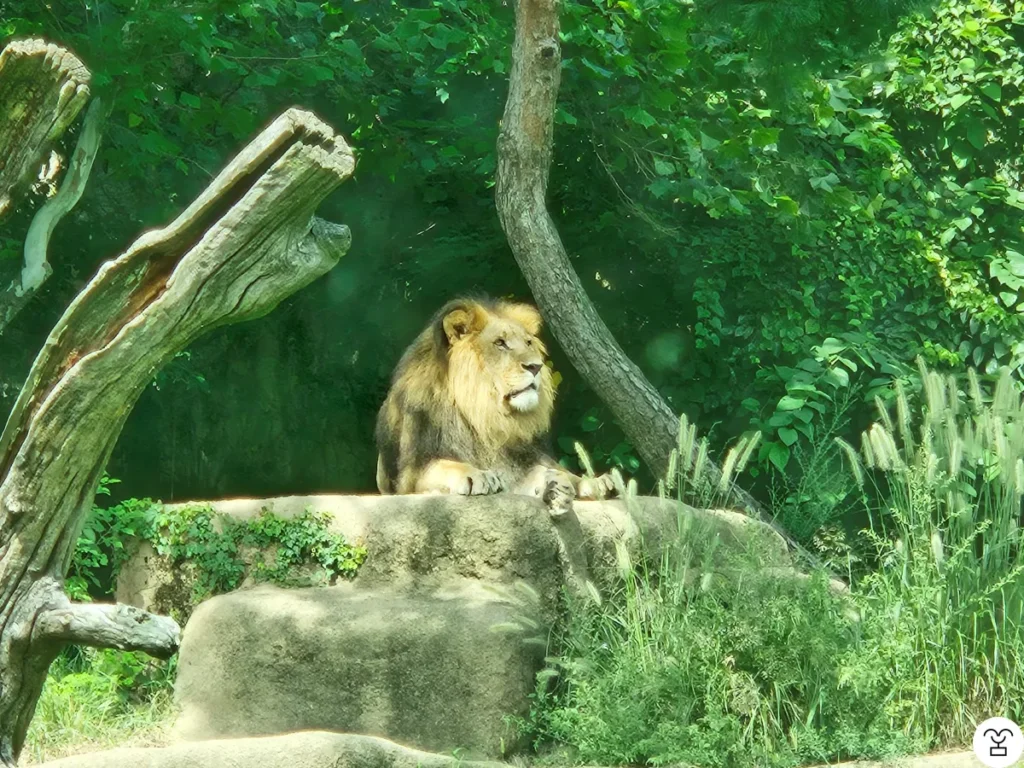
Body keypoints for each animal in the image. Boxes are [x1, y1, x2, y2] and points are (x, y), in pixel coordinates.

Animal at [374, 296, 617, 513]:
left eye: (528, 342)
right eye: (500, 343)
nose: (536, 366)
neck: (484, 415)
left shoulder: (519, 461)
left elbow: (541, 472)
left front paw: (558, 487)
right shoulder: (411, 473)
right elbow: (445, 466)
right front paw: (476, 475)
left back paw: (597, 484)